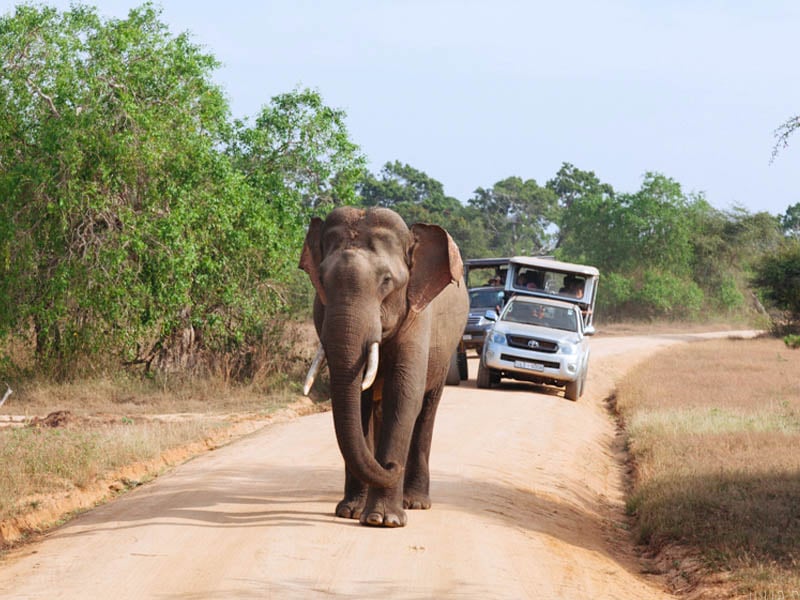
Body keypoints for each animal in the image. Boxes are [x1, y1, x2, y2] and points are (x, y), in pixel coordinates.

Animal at [300, 205, 468, 524]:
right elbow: (359, 402)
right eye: (322, 281)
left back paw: (415, 502)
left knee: (426, 410)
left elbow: (403, 395)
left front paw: (383, 521)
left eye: (387, 281)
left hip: (446, 352)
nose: (391, 466)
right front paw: (351, 512)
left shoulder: (418, 316)